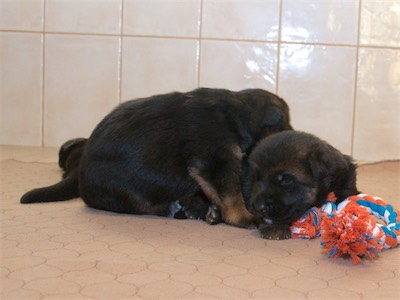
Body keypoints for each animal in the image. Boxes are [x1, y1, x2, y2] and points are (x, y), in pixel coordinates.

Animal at [21, 88, 290, 229]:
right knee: (144, 206)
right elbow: (233, 194)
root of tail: (79, 178)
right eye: (284, 126)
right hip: (127, 191)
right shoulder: (215, 162)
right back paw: (173, 208)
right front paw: (246, 216)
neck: (234, 116)